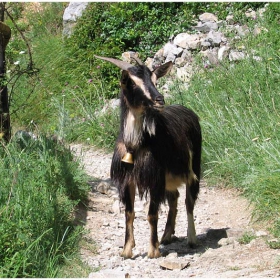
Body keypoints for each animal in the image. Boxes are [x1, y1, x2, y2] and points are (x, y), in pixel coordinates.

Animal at [95, 54, 202, 258]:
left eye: (154, 79)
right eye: (131, 82)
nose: (159, 99)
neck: (135, 144)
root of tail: (188, 110)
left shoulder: (154, 177)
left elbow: (152, 214)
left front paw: (153, 250)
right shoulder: (127, 179)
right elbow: (129, 213)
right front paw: (127, 250)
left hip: (193, 169)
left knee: (189, 201)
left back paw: (192, 239)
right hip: (169, 178)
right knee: (174, 197)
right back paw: (167, 236)